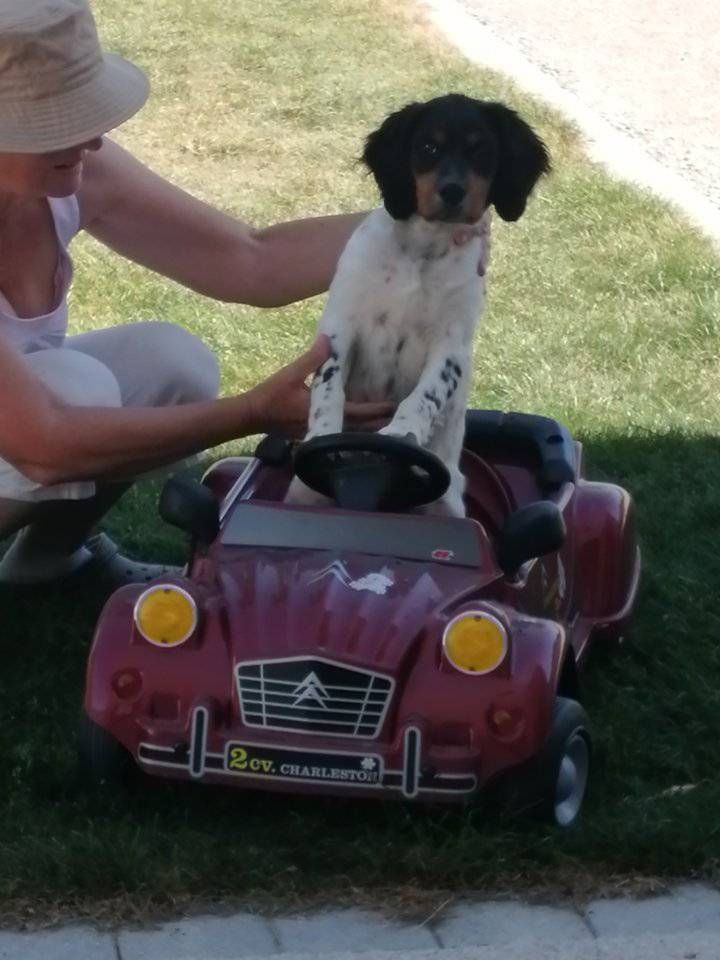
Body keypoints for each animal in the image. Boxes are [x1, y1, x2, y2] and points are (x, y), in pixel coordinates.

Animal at [286, 94, 544, 516]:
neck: (422, 253)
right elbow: (327, 389)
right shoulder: (340, 327)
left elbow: (426, 395)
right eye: (427, 147)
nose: (453, 191)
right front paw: (322, 433)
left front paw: (401, 431)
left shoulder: (452, 345)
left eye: (481, 150)